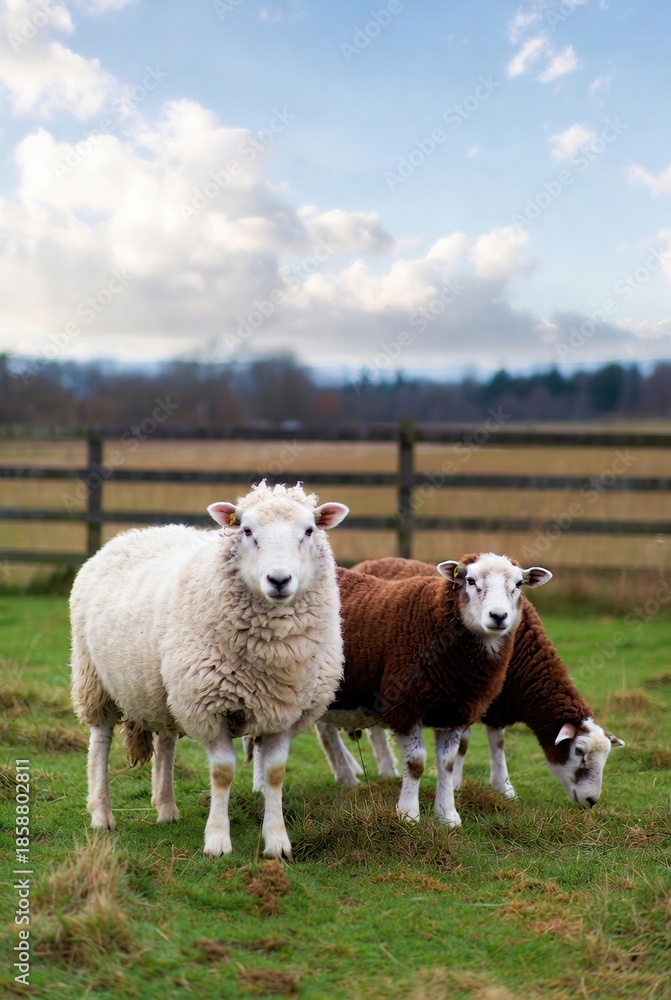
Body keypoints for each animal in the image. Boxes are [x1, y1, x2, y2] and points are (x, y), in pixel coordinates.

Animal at [70, 482, 349, 860]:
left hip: (166, 689)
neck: (272, 653)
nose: (278, 580)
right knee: (100, 741)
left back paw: (166, 807)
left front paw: (277, 843)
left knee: (166, 741)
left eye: (309, 531)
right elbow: (223, 773)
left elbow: (275, 774)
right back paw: (102, 814)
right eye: (246, 530)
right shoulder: (209, 705)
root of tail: (137, 532)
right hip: (94, 677)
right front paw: (217, 841)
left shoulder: (285, 712)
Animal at [319, 557, 624, 809]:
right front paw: (462, 785)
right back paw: (354, 773)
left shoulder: (489, 699)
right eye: (579, 752)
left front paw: (500, 786)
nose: (591, 801)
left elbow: (493, 741)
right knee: (329, 729)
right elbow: (469, 744)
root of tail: (369, 563)